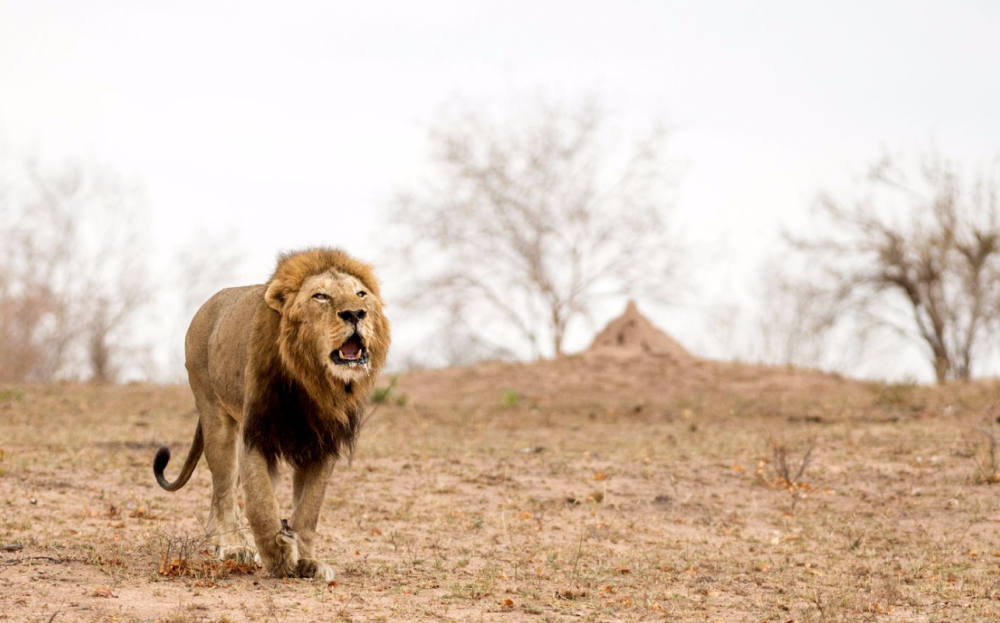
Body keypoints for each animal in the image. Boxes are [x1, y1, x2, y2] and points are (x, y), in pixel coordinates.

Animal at [152, 247, 390, 580]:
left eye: (361, 294)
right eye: (320, 296)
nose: (356, 314)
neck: (312, 380)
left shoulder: (323, 443)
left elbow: (309, 509)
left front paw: (307, 560)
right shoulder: (256, 434)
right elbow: (261, 503)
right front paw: (278, 557)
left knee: (223, 492)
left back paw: (216, 542)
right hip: (216, 419)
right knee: (224, 490)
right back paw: (234, 546)